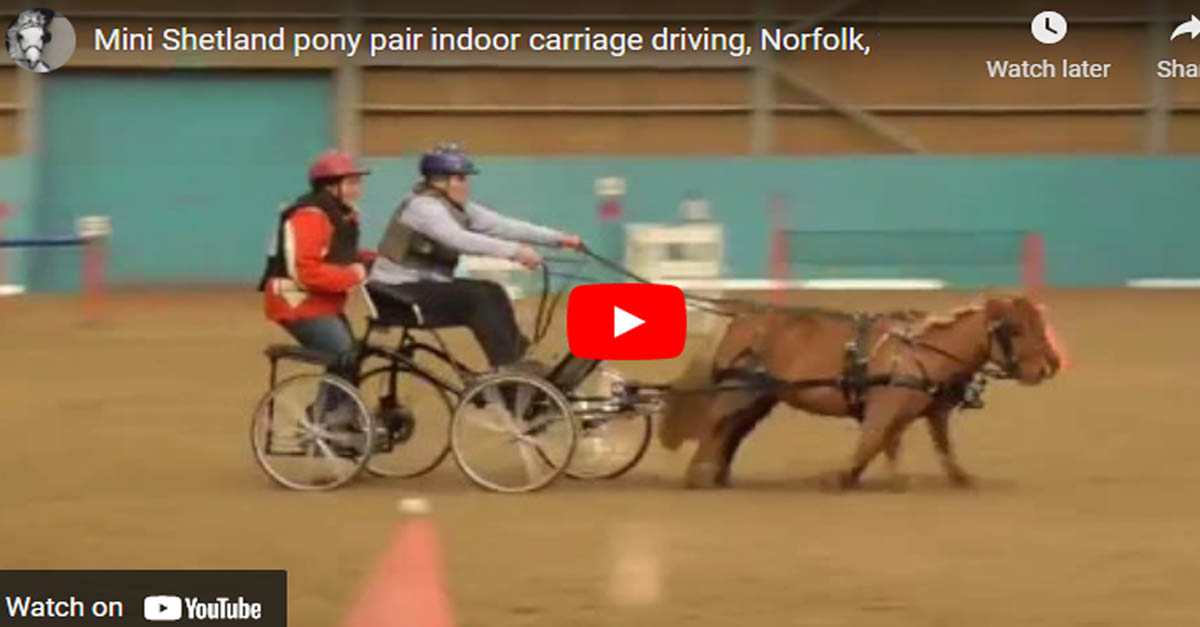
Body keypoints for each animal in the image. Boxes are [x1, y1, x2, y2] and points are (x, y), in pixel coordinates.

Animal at [657, 293, 1060, 487]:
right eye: (1015, 329)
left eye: (1040, 324)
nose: (1048, 366)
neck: (920, 350)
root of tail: (741, 319)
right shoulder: (885, 407)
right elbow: (872, 440)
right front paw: (839, 477)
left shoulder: (927, 412)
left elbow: (932, 447)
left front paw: (955, 479)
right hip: (737, 390)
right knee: (715, 425)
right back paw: (699, 474)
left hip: (761, 398)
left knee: (733, 431)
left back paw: (719, 473)